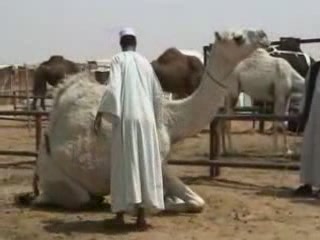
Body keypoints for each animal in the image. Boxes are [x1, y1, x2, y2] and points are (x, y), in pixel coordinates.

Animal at [30, 28, 270, 214]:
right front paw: (156, 205)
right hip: (65, 184)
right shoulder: (157, 161)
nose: (263, 35)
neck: (170, 120)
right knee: (78, 197)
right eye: (237, 37)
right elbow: (195, 201)